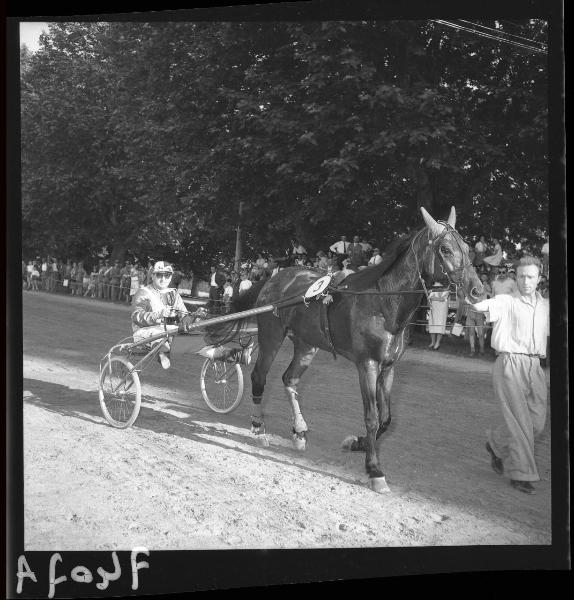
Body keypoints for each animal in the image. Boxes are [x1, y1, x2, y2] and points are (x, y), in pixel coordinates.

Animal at [214, 206, 484, 492]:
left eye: (467, 247)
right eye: (445, 248)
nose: (477, 290)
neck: (383, 303)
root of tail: (274, 278)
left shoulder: (389, 368)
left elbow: (387, 419)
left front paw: (358, 443)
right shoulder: (367, 365)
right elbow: (372, 417)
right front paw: (374, 468)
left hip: (307, 345)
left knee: (290, 379)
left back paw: (299, 430)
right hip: (271, 336)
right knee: (259, 377)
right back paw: (258, 427)